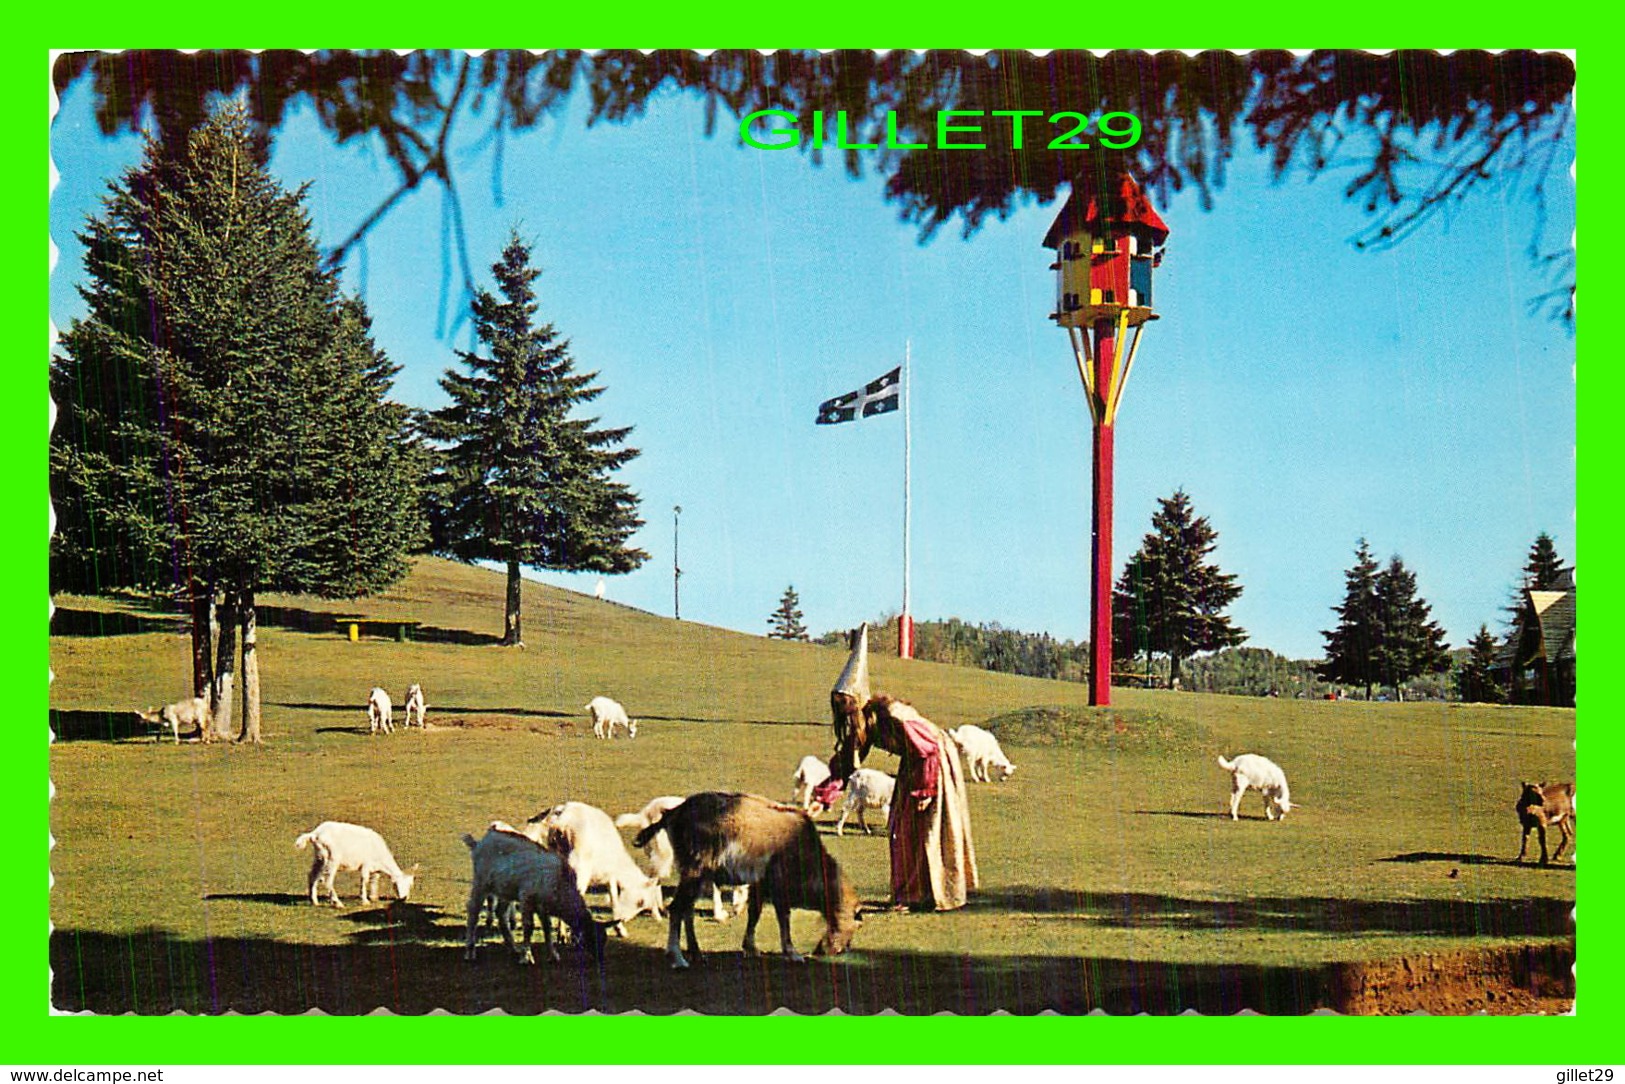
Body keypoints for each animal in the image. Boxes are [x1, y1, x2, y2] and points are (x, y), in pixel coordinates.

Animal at [461, 822, 607, 968]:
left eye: (604, 938)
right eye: (591, 937)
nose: (600, 959)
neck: (560, 883)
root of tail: (478, 843)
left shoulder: (543, 906)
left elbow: (547, 927)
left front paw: (553, 955)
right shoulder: (526, 898)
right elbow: (528, 926)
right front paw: (527, 957)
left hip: (505, 890)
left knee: (501, 913)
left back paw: (513, 947)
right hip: (481, 882)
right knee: (473, 910)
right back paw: (470, 952)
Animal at [617, 796, 750, 923]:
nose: (735, 912)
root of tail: (646, 812)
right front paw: (721, 915)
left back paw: (663, 910)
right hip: (664, 855)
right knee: (652, 881)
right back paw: (656, 915)